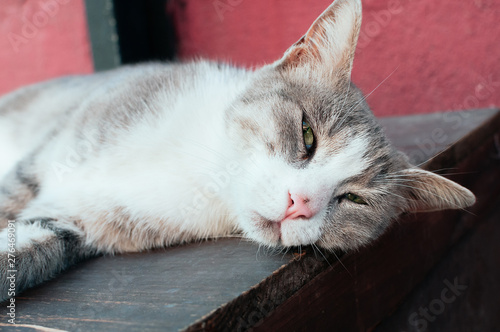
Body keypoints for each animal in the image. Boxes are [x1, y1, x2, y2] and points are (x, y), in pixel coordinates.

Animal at [0, 0, 476, 300]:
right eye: (308, 135)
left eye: (355, 199)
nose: (300, 203)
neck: (201, 175)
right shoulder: (46, 157)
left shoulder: (73, 220)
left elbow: (27, 249)